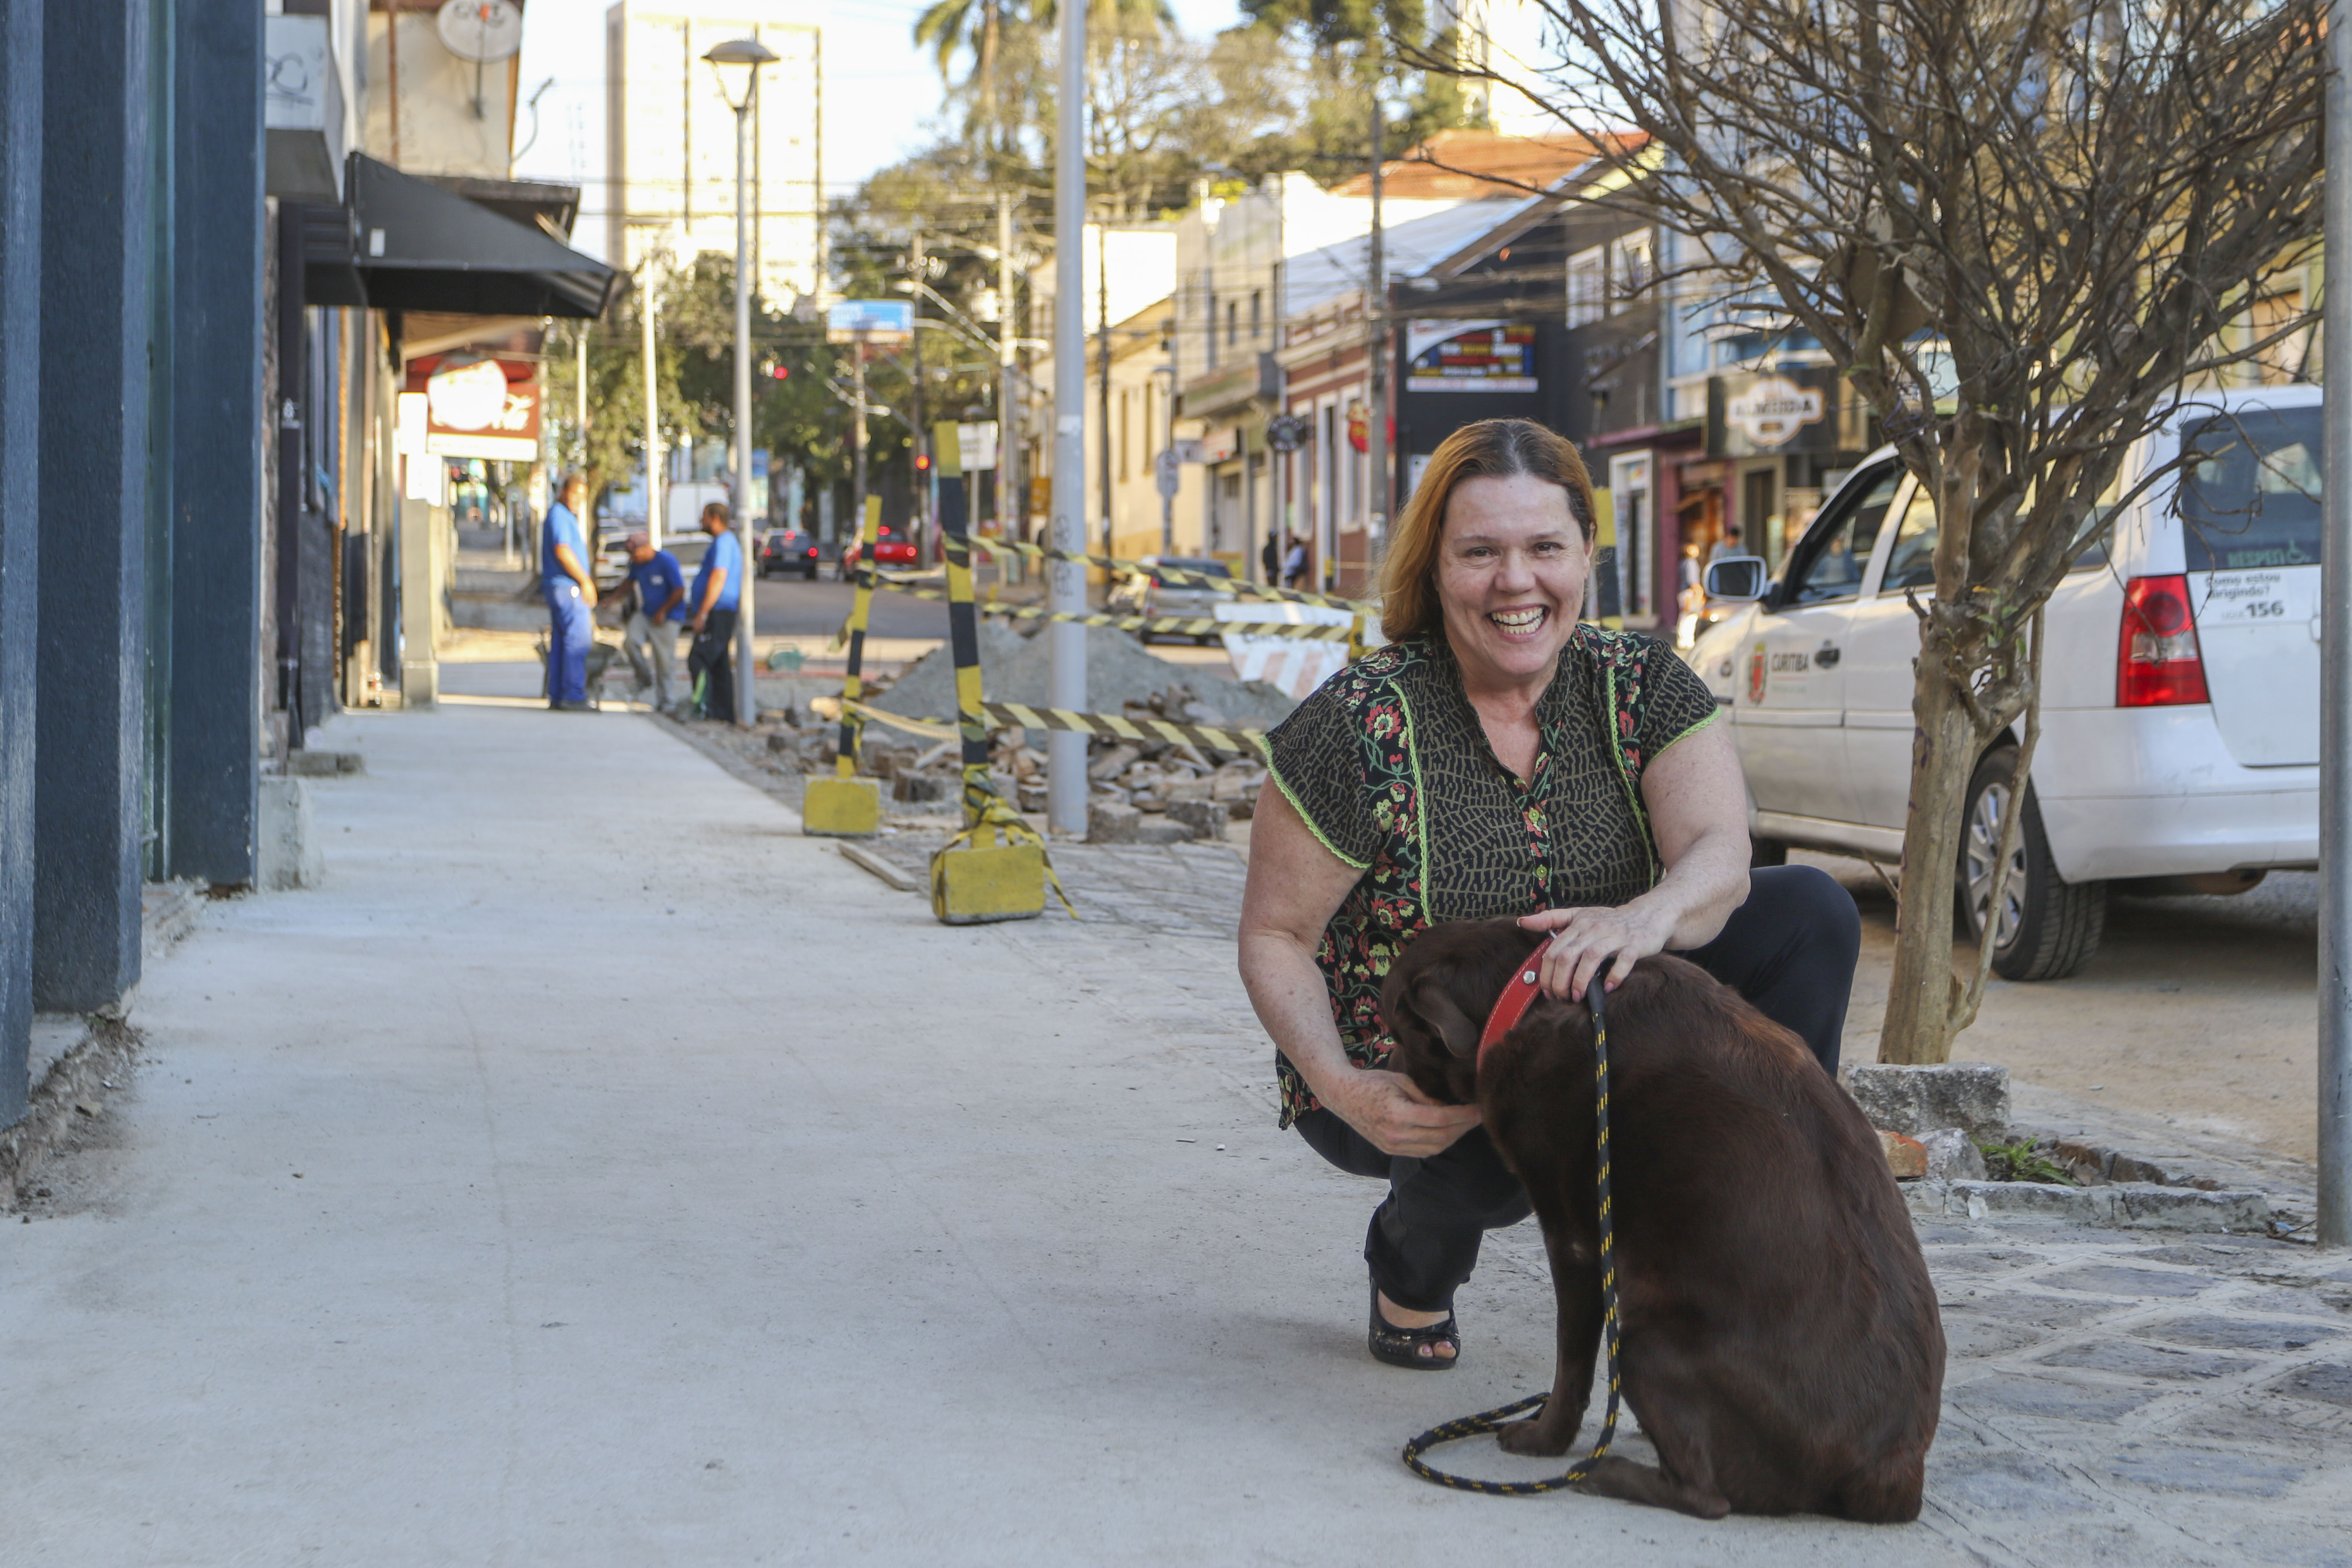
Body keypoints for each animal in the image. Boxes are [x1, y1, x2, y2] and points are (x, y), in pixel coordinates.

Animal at [1373, 921, 1947, 1523]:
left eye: (1396, 1030)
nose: (1384, 1076)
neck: (1525, 989)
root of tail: (1892, 1473)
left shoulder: (1573, 1240)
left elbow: (1571, 1363)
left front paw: (1544, 1438)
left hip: (1643, 1343)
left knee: (1707, 1497)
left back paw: (1604, 1473)